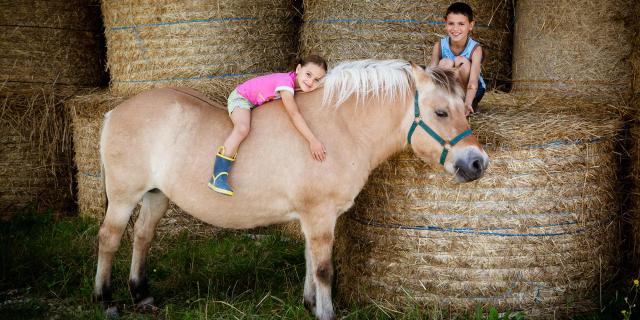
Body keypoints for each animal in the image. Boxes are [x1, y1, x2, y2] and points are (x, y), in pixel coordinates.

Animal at [94, 59, 484, 318]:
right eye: (441, 112)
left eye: (464, 110)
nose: (478, 162)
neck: (338, 129)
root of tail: (114, 113)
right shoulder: (320, 215)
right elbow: (324, 268)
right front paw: (326, 312)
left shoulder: (314, 218)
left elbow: (311, 262)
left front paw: (310, 304)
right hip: (124, 196)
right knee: (109, 238)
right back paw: (105, 299)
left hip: (156, 196)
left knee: (143, 236)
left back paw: (141, 294)